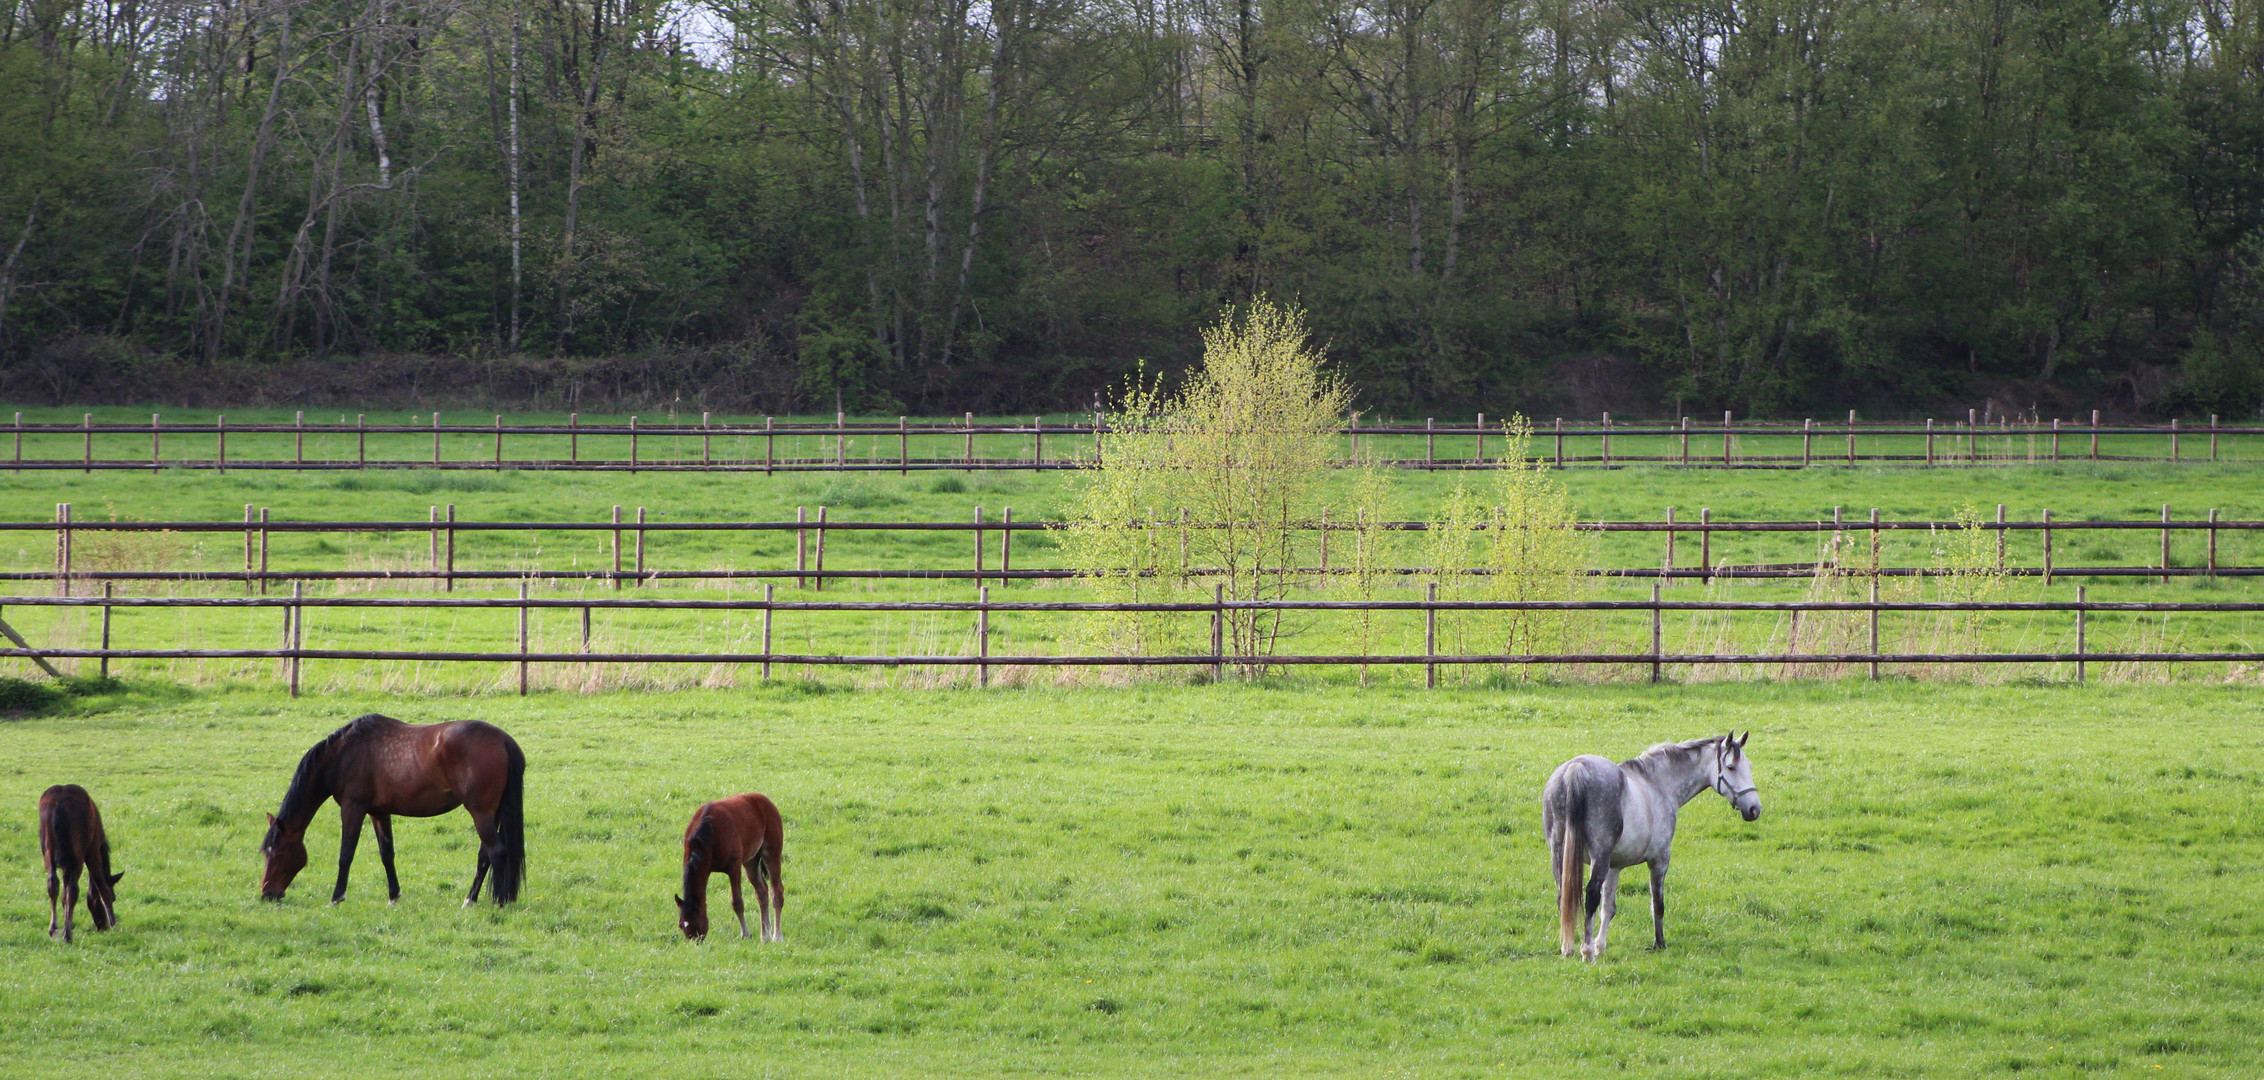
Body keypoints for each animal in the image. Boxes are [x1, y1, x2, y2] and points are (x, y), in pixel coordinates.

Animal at [259, 710, 522, 905]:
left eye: (277, 852)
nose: (267, 894)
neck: (343, 755)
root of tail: (503, 739)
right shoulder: (379, 812)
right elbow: (387, 853)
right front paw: (393, 896)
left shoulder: (353, 808)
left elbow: (346, 853)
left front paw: (336, 897)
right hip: (491, 814)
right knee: (485, 855)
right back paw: (471, 899)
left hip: (480, 813)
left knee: (497, 852)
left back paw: (498, 902)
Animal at [1539, 733, 1765, 959]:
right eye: (1731, 767)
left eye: (1749, 766)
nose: (1754, 809)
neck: (1657, 784)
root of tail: (1576, 769)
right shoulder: (1659, 860)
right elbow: (1657, 904)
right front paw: (1659, 944)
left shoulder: (1614, 866)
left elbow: (1608, 908)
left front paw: (1600, 946)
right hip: (1598, 857)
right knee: (1591, 895)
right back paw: (1586, 952)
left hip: (1559, 854)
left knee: (1564, 897)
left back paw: (1568, 948)